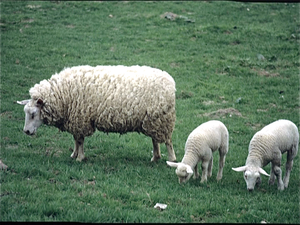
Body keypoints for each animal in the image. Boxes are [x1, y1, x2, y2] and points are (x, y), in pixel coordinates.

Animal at [16, 64, 177, 162]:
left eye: (33, 113)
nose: (26, 131)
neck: (62, 95)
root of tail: (171, 82)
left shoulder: (81, 118)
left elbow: (80, 140)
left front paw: (80, 158)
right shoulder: (75, 120)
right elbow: (76, 139)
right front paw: (74, 154)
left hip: (163, 119)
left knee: (167, 141)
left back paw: (171, 159)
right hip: (153, 120)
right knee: (155, 139)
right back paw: (155, 157)